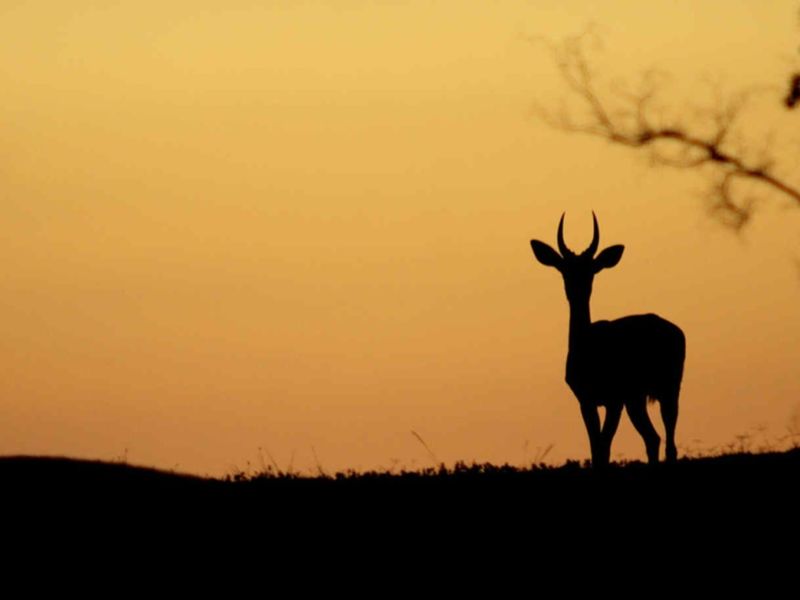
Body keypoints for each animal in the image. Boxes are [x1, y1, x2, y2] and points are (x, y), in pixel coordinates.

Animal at [529, 213, 685, 467]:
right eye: (564, 269)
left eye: (591, 269)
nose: (577, 289)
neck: (586, 347)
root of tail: (675, 331)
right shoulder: (586, 400)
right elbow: (596, 449)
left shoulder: (614, 400)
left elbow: (604, 447)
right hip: (638, 398)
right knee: (653, 438)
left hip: (668, 387)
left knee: (668, 439)